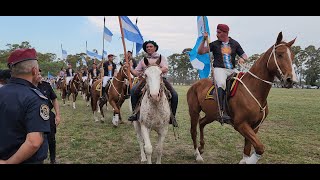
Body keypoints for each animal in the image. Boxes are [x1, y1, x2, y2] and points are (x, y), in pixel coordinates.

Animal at [188, 31, 298, 164]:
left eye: (292, 56)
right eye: (280, 54)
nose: (291, 80)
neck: (254, 90)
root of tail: (195, 84)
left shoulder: (255, 126)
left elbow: (248, 146)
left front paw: (245, 159)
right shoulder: (241, 124)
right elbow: (260, 147)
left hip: (211, 114)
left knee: (202, 123)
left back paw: (202, 147)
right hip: (194, 111)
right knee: (193, 131)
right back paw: (197, 154)